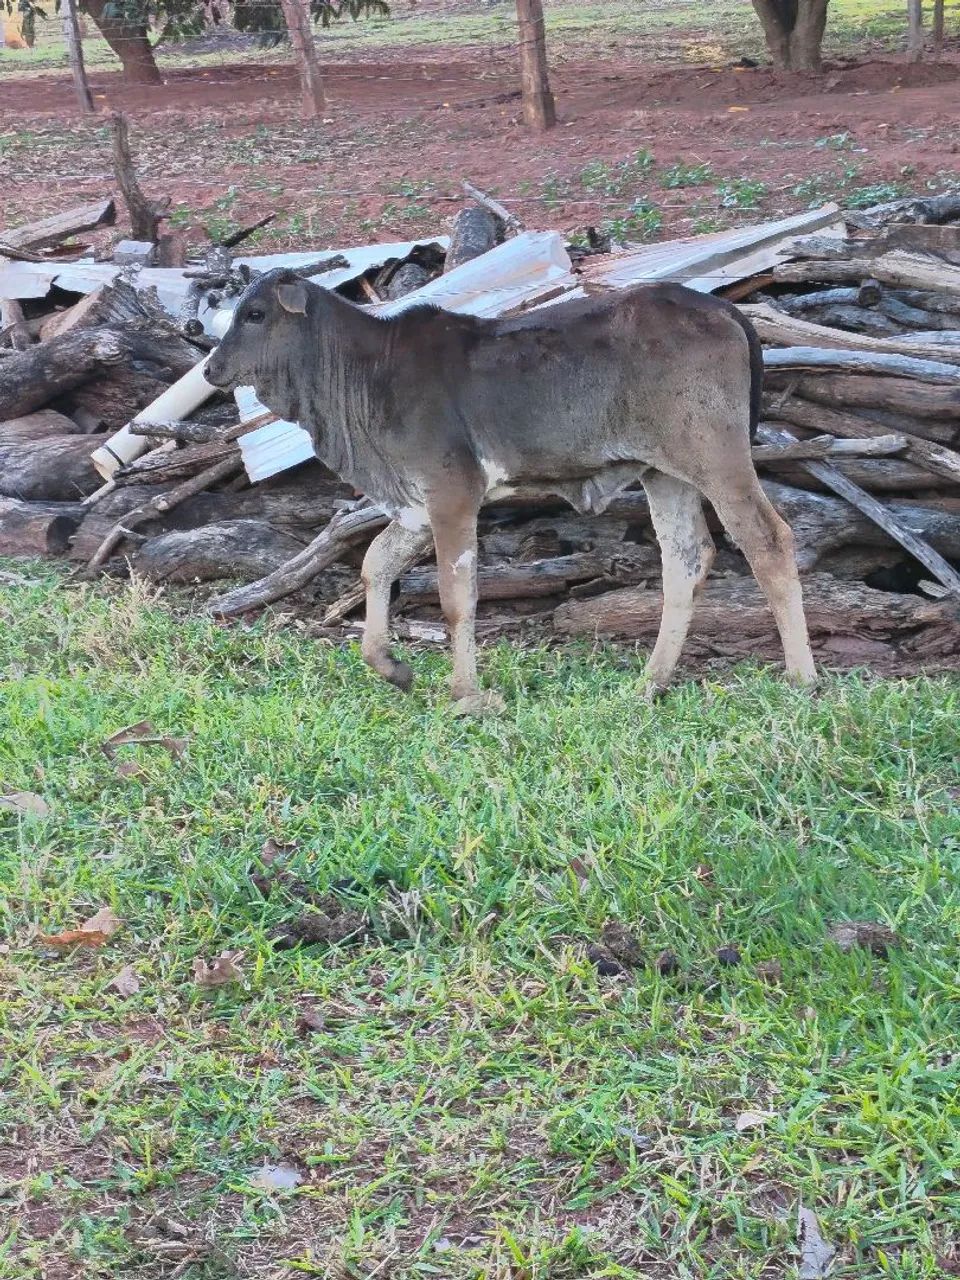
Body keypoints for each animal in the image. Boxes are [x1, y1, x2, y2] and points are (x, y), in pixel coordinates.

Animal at [205, 268, 816, 713]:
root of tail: (718, 306)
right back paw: (649, 683)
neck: (365, 375)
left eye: (254, 314)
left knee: (769, 541)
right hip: (663, 472)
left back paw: (801, 678)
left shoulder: (453, 494)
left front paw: (467, 696)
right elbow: (375, 564)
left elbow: (457, 597)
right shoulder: (416, 506)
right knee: (686, 558)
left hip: (716, 456)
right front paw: (392, 667)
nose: (211, 369)